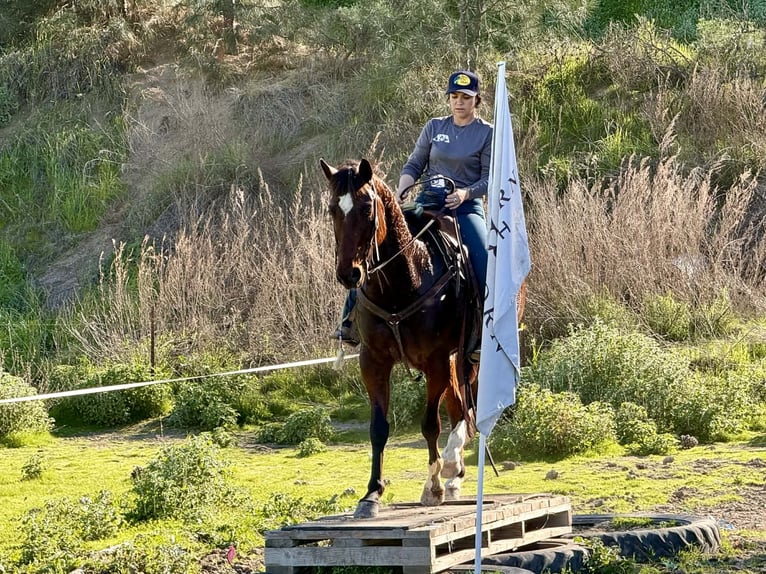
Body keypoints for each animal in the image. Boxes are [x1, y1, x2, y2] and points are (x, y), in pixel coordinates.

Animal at [320, 157, 479, 519]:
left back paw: (451, 463)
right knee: (457, 403)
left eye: (367, 208)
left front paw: (432, 488)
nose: (349, 274)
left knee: (465, 405)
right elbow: (378, 428)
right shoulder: (374, 361)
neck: (405, 279)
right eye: (333, 209)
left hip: (469, 353)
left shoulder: (435, 361)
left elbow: (430, 424)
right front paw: (371, 495)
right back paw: (454, 474)